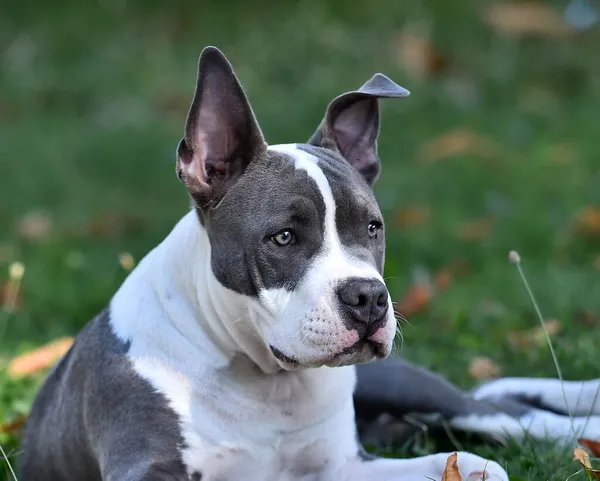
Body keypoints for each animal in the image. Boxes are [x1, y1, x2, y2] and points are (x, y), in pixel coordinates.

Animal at [19, 46, 600, 480]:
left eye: (372, 228)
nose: (369, 298)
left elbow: (480, 467)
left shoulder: (344, 465)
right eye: (283, 238)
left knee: (511, 414)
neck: (266, 379)